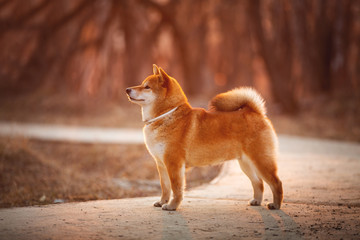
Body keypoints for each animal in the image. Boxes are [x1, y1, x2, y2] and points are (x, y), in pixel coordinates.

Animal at [125, 64, 282, 211]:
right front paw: (162, 201)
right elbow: (165, 188)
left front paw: (172, 206)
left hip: (261, 161)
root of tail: (255, 112)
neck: (166, 115)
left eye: (147, 87)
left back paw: (276, 204)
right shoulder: (161, 164)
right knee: (258, 182)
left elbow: (176, 189)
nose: (127, 89)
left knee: (276, 183)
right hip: (245, 163)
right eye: (142, 84)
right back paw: (257, 201)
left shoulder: (174, 164)